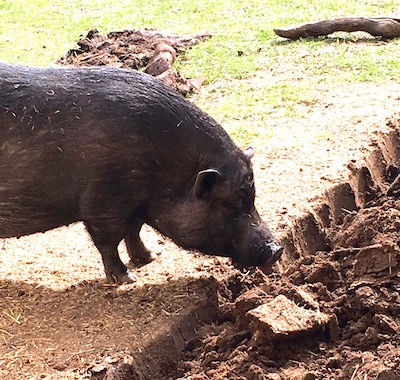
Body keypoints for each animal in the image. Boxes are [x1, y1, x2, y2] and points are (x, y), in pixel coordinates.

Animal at [0, 62, 282, 282]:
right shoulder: (105, 198)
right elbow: (109, 240)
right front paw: (128, 278)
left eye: (253, 198)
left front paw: (151, 257)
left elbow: (134, 230)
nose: (277, 250)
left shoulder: (135, 203)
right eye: (229, 206)